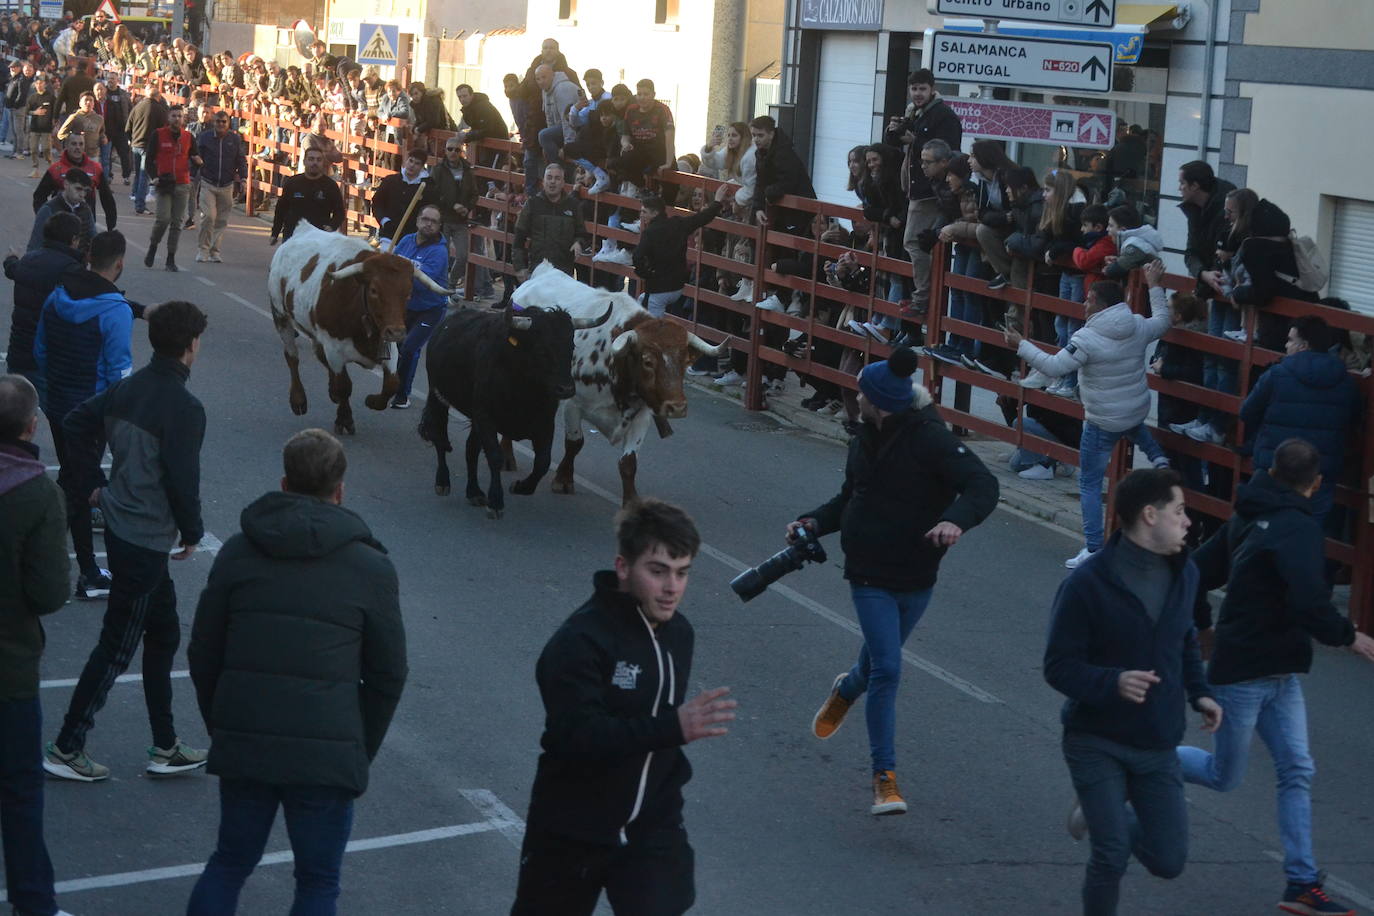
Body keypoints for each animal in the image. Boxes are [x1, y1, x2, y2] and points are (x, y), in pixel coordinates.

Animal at [269, 223, 456, 436]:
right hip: (280, 315)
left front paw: (371, 401)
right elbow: (344, 386)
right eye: (374, 290)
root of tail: (302, 228)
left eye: (409, 292)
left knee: (318, 354)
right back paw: (298, 400)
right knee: (292, 357)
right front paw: (344, 419)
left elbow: (392, 383)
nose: (397, 332)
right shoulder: (334, 348)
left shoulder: (389, 347)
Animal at [417, 304, 612, 519]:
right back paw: (443, 482)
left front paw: (520, 487)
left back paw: (474, 492)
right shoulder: (486, 417)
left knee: (470, 448)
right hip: (438, 397)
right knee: (439, 438)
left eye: (571, 347)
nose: (566, 389)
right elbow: (495, 456)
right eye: (541, 349)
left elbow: (543, 462)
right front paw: (496, 501)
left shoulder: (545, 423)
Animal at [511, 260, 730, 505]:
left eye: (684, 361)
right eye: (647, 361)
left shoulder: (642, 415)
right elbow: (574, 444)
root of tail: (545, 271)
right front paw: (563, 480)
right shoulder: (573, 405)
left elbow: (628, 463)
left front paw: (632, 501)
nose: (677, 407)